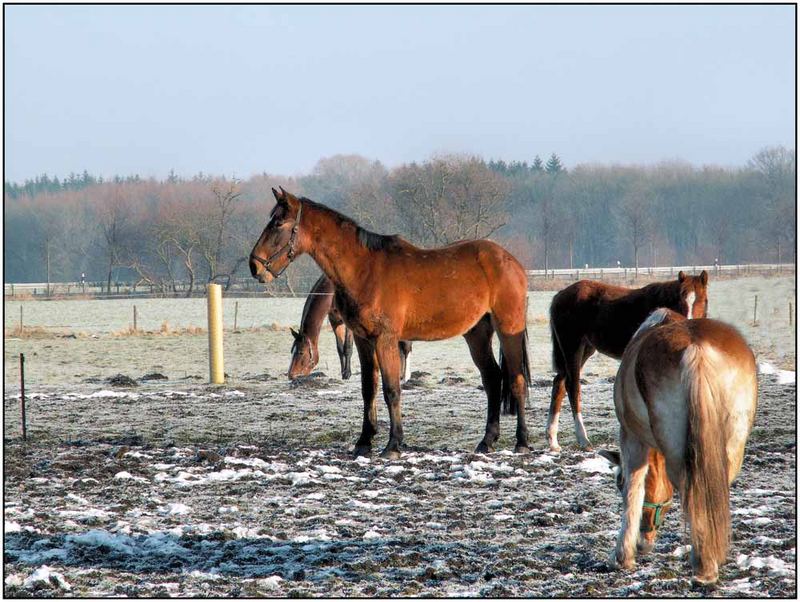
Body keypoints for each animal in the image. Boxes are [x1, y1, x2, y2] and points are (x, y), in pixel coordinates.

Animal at [250, 190, 536, 458]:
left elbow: (391, 390)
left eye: (278, 223)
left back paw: (522, 442)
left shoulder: (385, 339)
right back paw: (486, 441)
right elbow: (369, 389)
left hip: (508, 328)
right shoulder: (363, 340)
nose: (254, 265)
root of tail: (512, 262)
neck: (364, 269)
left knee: (516, 380)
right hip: (476, 333)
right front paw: (364, 442)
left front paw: (393, 445)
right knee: (492, 379)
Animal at [548, 270, 708, 448]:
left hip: (585, 349)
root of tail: (559, 295)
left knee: (559, 383)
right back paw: (583, 439)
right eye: (681, 298)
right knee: (572, 386)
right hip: (572, 347)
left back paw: (553, 441)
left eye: (702, 299)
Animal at [600, 308, 756, 580]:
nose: (643, 542)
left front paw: (622, 557)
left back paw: (704, 565)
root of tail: (696, 347)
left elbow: (633, 491)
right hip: (731, 444)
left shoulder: (631, 437)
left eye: (617, 482)